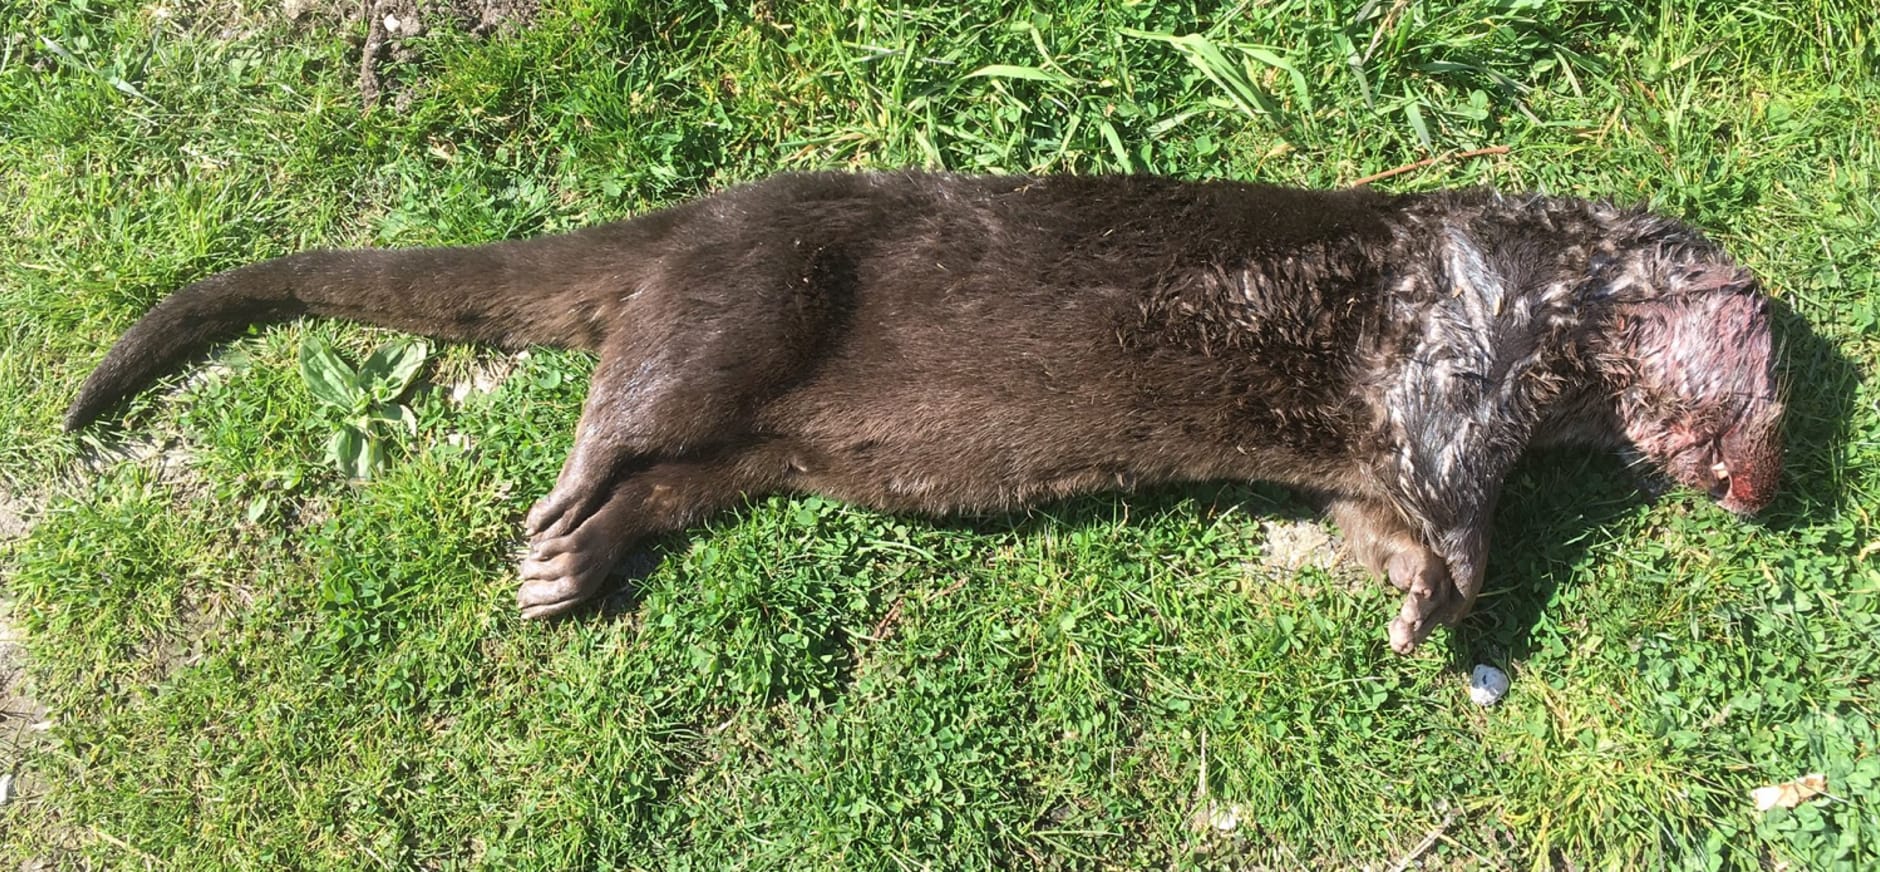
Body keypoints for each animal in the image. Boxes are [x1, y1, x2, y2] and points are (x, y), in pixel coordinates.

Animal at [66, 171, 1782, 654]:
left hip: (757, 439)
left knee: (670, 482)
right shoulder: (1455, 351)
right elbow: (1451, 504)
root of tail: (702, 213)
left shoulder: (1407, 442)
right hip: (741, 302)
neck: (1542, 305)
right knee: (622, 407)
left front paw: (1400, 603)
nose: (1772, 491)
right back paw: (555, 516)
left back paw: (567, 569)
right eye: (1775, 397)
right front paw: (1455, 600)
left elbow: (1377, 518)